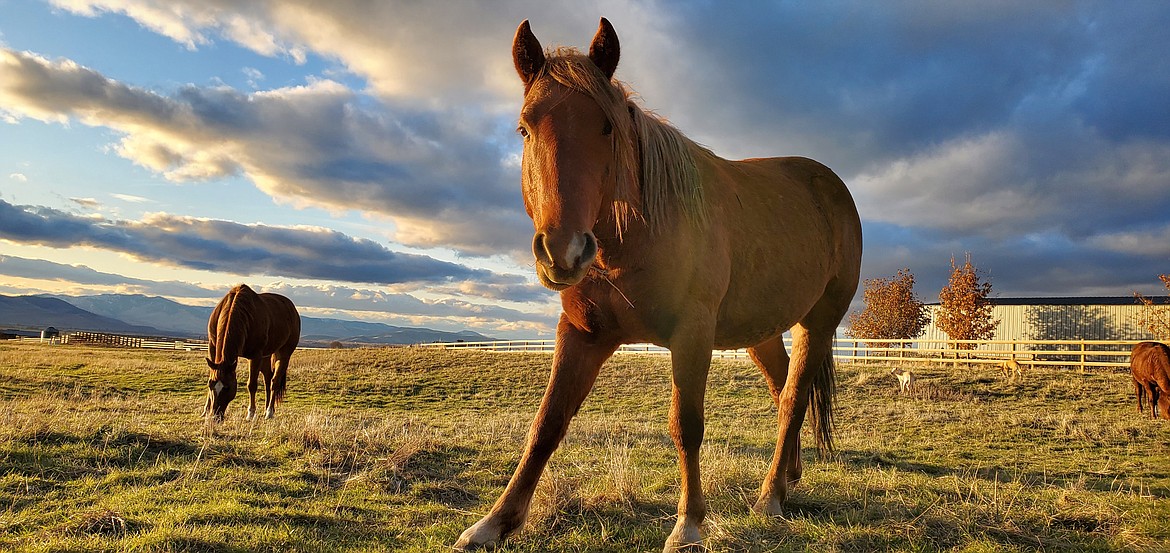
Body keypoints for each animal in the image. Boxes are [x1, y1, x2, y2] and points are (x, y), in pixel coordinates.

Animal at [208, 284, 304, 423]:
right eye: (211, 386)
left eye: (227, 388)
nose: (215, 417)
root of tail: (292, 309)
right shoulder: (212, 347)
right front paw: (205, 411)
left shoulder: (255, 356)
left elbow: (251, 385)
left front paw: (251, 413)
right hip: (266, 356)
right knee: (268, 379)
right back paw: (266, 409)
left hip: (283, 354)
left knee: (274, 382)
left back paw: (269, 412)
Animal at [451, 18, 865, 551]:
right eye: (525, 127)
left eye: (607, 127)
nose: (563, 250)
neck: (632, 241)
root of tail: (830, 185)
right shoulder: (582, 334)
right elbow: (546, 424)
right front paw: (493, 523)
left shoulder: (691, 336)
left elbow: (686, 426)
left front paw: (689, 525)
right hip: (762, 330)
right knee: (782, 389)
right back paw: (788, 476)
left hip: (818, 321)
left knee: (794, 399)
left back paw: (770, 497)